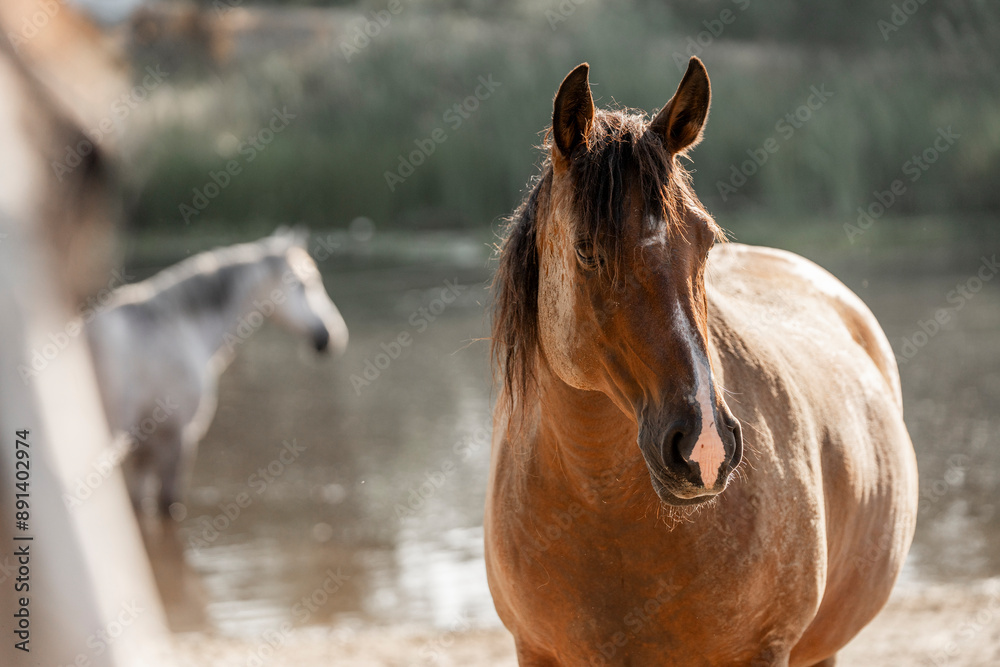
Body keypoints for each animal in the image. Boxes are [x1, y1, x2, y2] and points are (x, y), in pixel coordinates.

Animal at [86, 229, 348, 518]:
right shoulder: (175, 439)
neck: (177, 328)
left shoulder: (140, 452)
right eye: (305, 283)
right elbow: (170, 504)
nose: (330, 337)